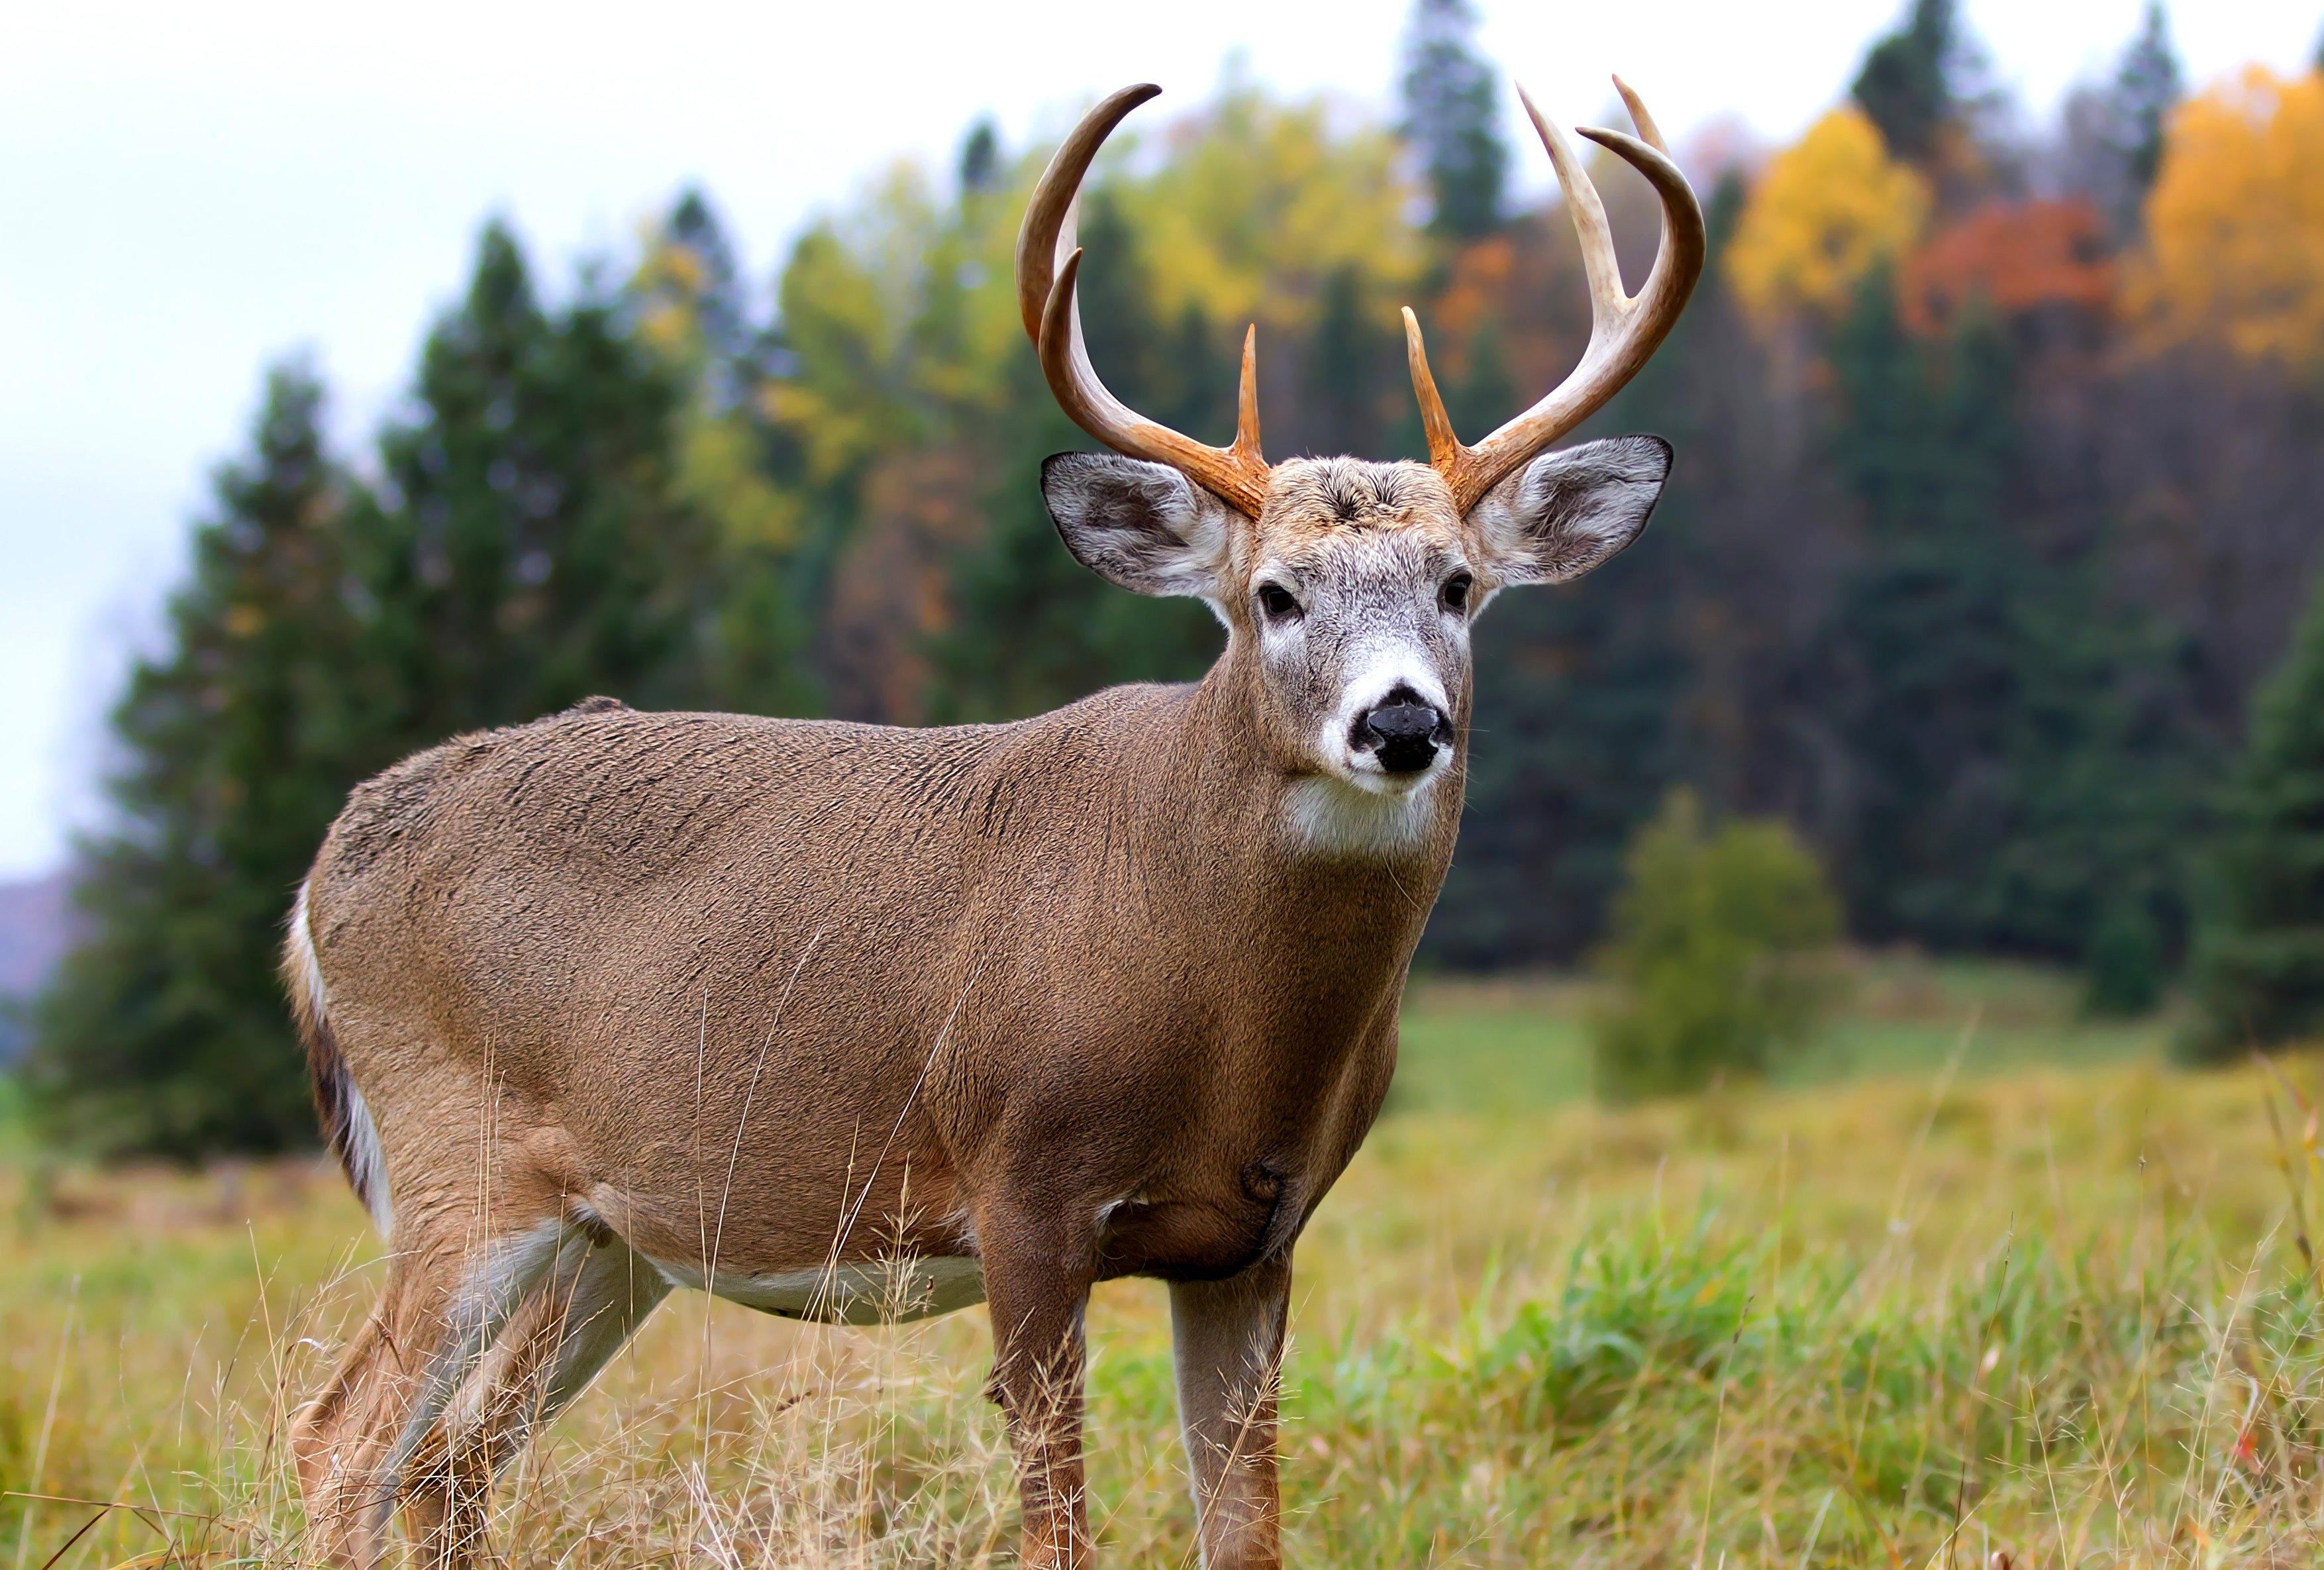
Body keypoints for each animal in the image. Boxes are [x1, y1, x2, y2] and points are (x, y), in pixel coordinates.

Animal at [290, 70, 1710, 1570]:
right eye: (1271, 596)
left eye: (1453, 586)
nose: (1398, 723)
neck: (1227, 1021)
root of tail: (327, 864)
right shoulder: (1022, 1187)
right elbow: (1057, 1530)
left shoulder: (1254, 1240)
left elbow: (1243, 1532)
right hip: (459, 1163)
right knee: (341, 1445)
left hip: (612, 1236)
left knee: (447, 1466)